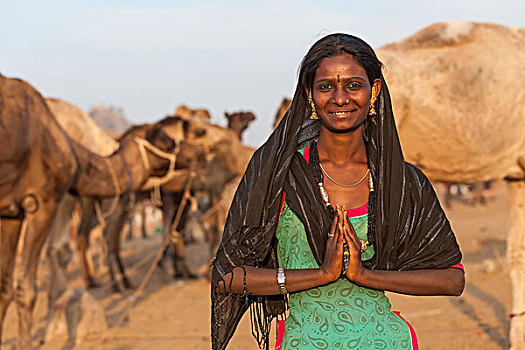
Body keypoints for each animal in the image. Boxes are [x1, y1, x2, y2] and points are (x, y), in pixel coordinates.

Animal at [0, 75, 178, 348]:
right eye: (167, 143)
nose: (186, 151)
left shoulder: (11, 212)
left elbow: (4, 287)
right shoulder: (42, 201)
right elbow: (25, 289)